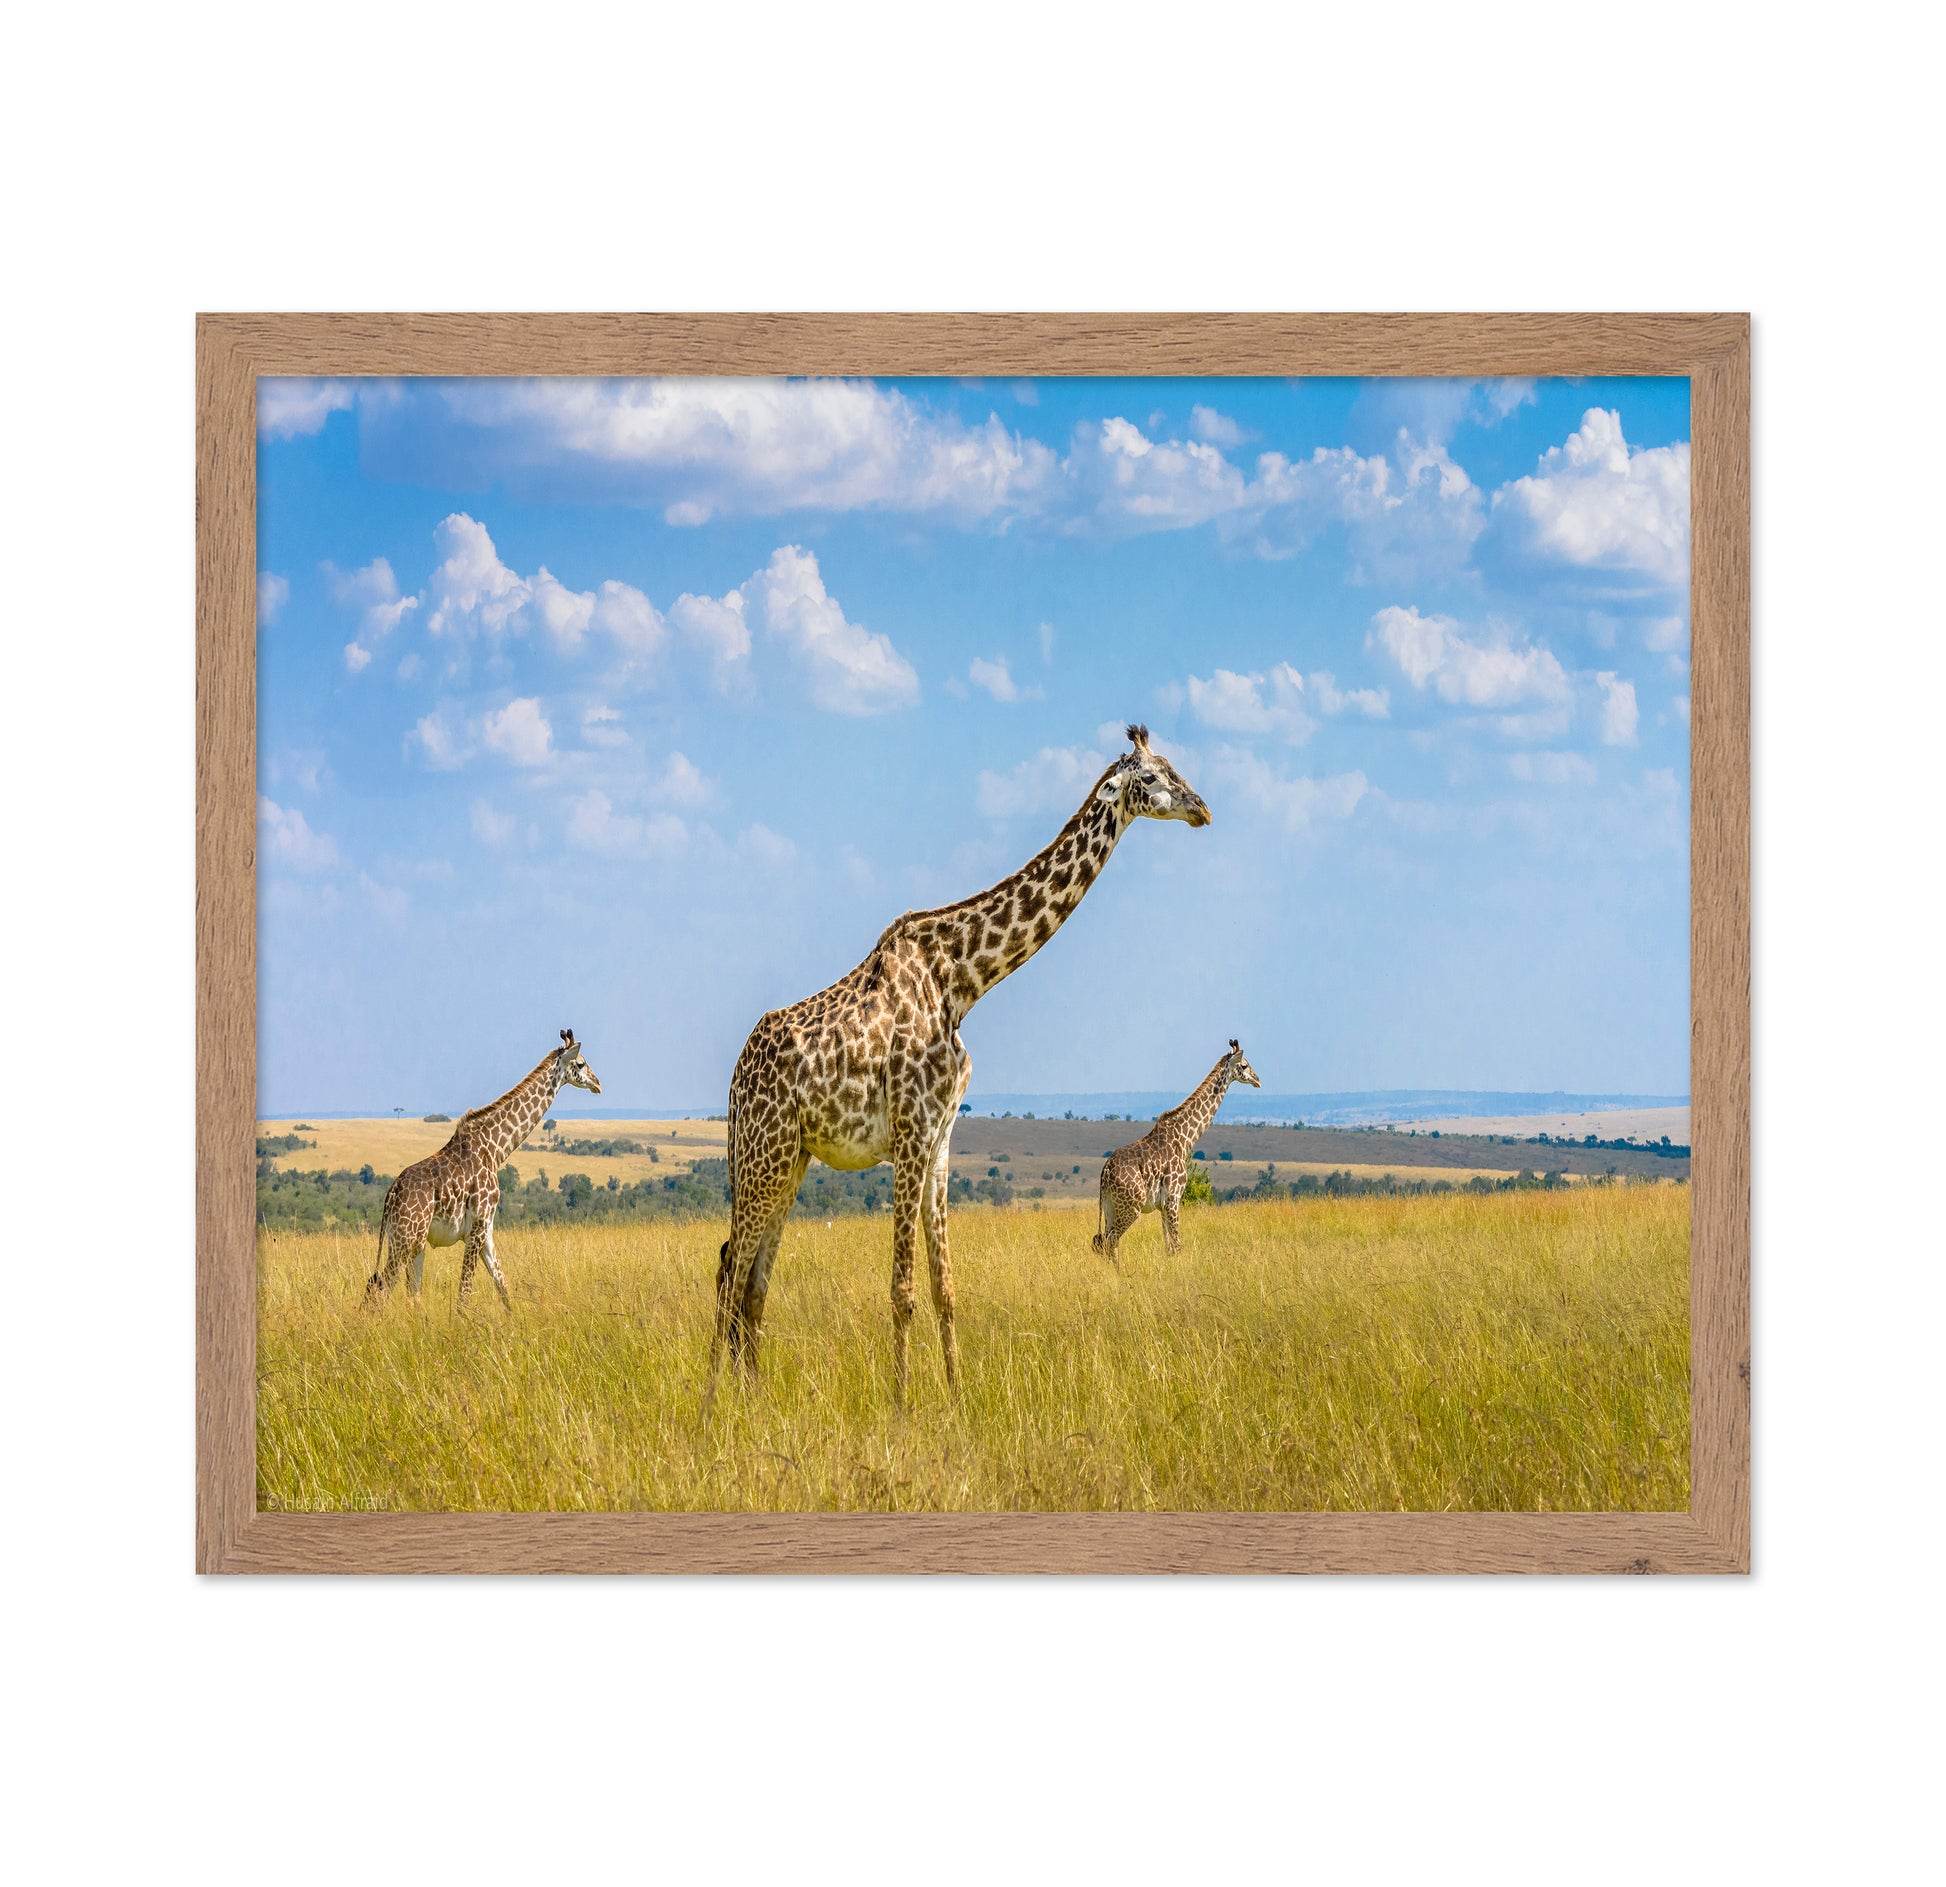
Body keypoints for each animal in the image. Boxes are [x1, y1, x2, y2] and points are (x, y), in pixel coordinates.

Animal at [363, 1029, 602, 1310]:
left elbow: (503, 1287)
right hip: (406, 1239)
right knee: (380, 1291)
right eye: (581, 1063)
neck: (496, 1149)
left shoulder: (487, 1230)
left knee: (409, 1294)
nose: (598, 1083)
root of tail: (390, 1196)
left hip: (411, 1243)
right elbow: (464, 1297)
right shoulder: (476, 1229)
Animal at [710, 724, 1212, 1408]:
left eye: (1173, 766)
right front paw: (900, 1407)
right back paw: (711, 1407)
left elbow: (945, 1288)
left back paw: (752, 1400)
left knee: (752, 1281)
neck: (961, 982)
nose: (1202, 808)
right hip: (764, 1154)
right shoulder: (909, 1135)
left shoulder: (941, 1139)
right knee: (730, 1271)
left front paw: (956, 1397)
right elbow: (902, 1289)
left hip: (790, 1159)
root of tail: (735, 1076)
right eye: (1155, 777)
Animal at [1092, 1039, 1262, 1263]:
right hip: (1131, 1206)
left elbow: (1169, 1247)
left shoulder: (1163, 1204)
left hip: (1110, 1206)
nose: (1258, 1080)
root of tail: (1105, 1172)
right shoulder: (1173, 1197)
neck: (1185, 1139)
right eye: (1244, 1065)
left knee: (1105, 1241)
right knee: (1111, 1239)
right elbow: (1178, 1245)